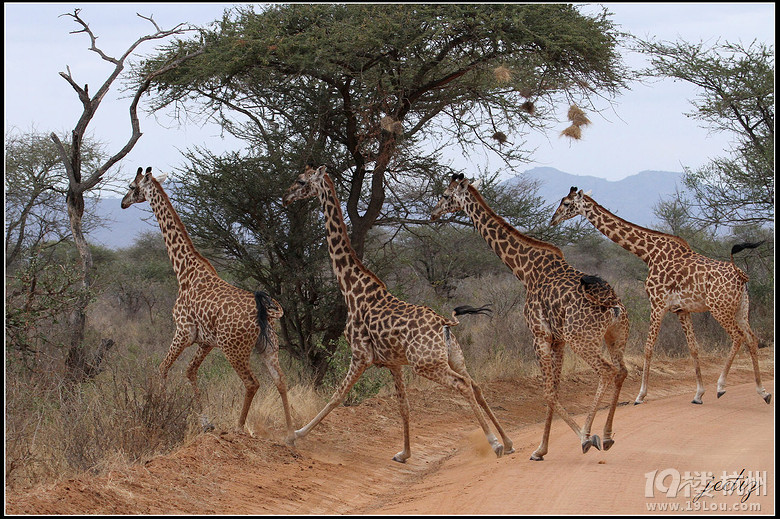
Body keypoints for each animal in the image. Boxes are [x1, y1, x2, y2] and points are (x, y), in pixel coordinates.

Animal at [120, 167, 298, 442]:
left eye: (131, 186)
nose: (123, 202)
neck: (184, 271)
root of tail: (264, 311)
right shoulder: (205, 342)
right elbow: (189, 372)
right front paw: (206, 423)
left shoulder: (182, 331)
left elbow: (162, 368)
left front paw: (156, 411)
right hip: (269, 348)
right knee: (281, 381)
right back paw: (290, 433)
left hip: (234, 349)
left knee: (252, 383)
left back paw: (239, 428)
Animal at [284, 165, 516, 462]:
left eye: (301, 181)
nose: (286, 197)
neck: (351, 289)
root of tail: (444, 323)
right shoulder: (393, 362)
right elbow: (403, 404)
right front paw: (404, 453)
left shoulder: (360, 354)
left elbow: (337, 395)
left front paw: (295, 434)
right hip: (453, 357)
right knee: (475, 385)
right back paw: (507, 441)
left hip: (426, 363)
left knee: (463, 385)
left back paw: (495, 443)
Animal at [430, 173, 632, 462]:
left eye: (446, 195)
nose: (433, 212)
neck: (524, 271)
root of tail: (613, 304)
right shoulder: (557, 339)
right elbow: (554, 389)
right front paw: (540, 449)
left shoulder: (539, 334)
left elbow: (547, 391)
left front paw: (579, 438)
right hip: (616, 335)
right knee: (622, 370)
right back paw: (606, 436)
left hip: (583, 339)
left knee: (607, 371)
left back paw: (589, 435)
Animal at [552, 187, 772, 406]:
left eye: (566, 203)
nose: (553, 219)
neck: (647, 253)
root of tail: (741, 274)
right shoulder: (681, 310)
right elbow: (694, 348)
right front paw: (698, 394)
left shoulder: (658, 303)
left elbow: (648, 347)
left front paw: (640, 395)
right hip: (740, 308)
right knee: (751, 338)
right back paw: (763, 392)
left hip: (720, 309)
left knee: (738, 337)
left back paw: (721, 386)